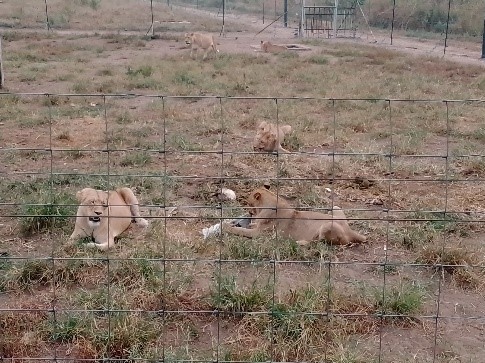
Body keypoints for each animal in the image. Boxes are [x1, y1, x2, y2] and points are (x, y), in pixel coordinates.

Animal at [225, 185, 364, 247]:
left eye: (248, 203)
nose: (248, 211)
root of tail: (351, 231)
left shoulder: (259, 234)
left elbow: (240, 230)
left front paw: (226, 226)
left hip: (327, 226)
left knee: (321, 242)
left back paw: (299, 242)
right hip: (335, 208)